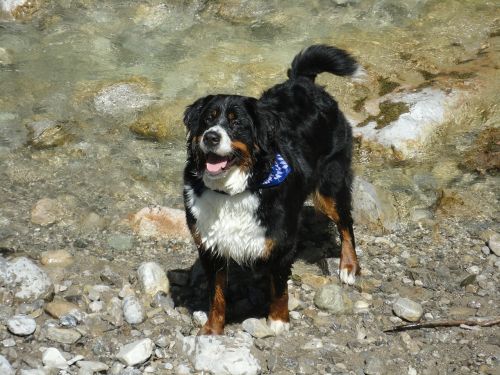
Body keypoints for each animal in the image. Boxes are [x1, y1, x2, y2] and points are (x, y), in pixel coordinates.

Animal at [182, 45, 362, 336]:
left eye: (236, 123)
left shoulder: (282, 242)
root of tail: (303, 82)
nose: (211, 136)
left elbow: (279, 288)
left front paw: (278, 320)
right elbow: (216, 295)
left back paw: (348, 266)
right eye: (208, 119)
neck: (233, 192)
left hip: (330, 186)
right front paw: (212, 329)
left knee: (346, 225)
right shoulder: (211, 246)